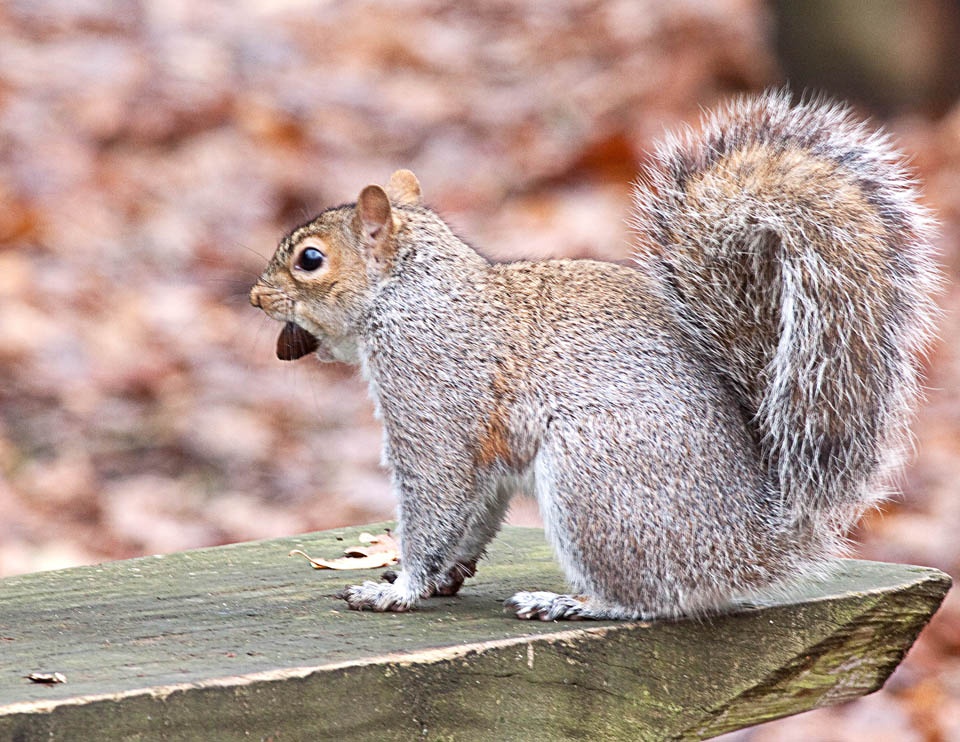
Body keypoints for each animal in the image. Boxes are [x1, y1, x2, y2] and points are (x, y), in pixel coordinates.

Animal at [250, 92, 939, 620]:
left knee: (648, 600)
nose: (256, 296)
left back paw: (570, 603)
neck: (412, 295)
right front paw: (445, 576)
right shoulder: (487, 460)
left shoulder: (432, 403)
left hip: (592, 483)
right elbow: (475, 514)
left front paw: (399, 588)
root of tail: (751, 546)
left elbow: (435, 499)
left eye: (310, 259)